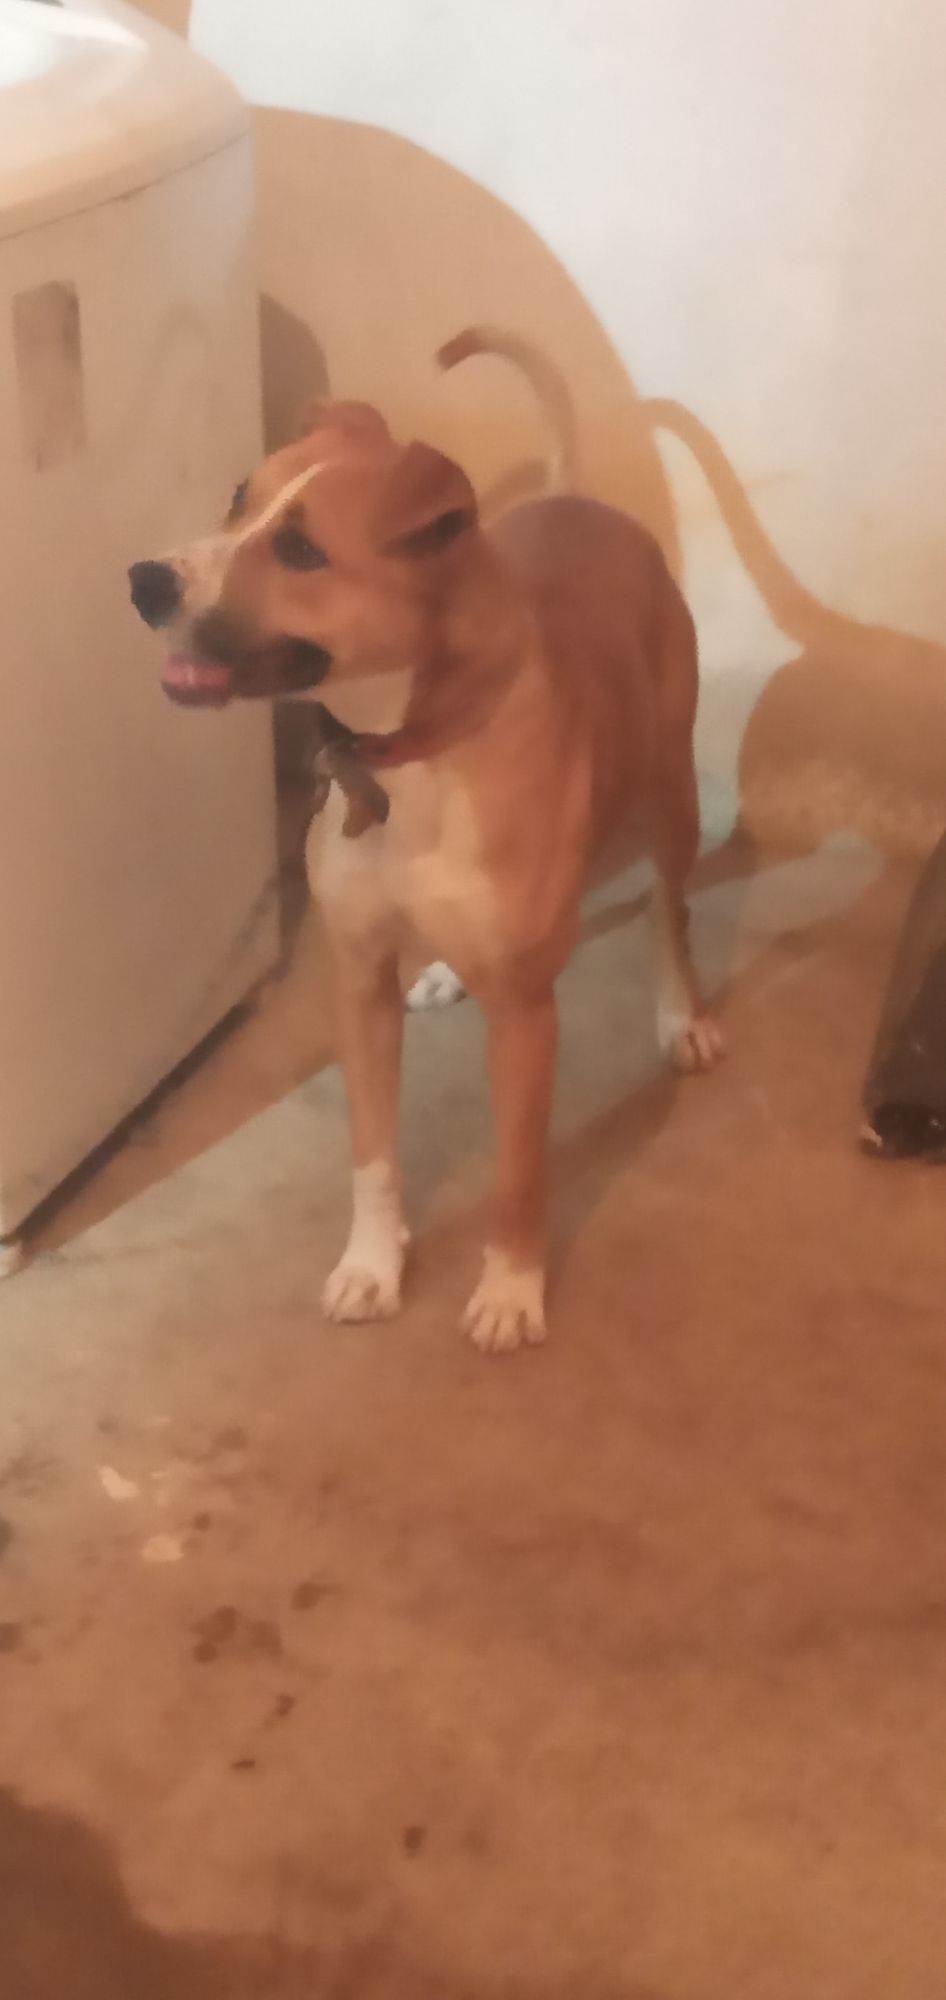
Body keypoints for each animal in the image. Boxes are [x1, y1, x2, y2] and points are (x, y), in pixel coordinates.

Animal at [129, 328, 723, 1354]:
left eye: (300, 548)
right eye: (238, 499)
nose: (145, 581)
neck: (409, 752)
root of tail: (584, 502)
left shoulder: (526, 1019)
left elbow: (518, 1174)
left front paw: (512, 1287)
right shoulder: (358, 981)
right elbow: (373, 1155)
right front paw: (373, 1265)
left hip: (669, 797)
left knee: (667, 910)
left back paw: (677, 1014)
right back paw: (447, 972)